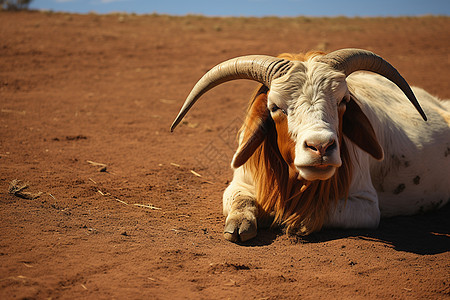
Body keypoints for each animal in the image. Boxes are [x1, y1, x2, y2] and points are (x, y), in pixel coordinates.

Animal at [170, 48, 450, 241]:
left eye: (343, 101)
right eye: (275, 107)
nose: (321, 147)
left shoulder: (367, 206)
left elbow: (317, 210)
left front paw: (291, 219)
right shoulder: (239, 184)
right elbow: (241, 202)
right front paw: (240, 223)